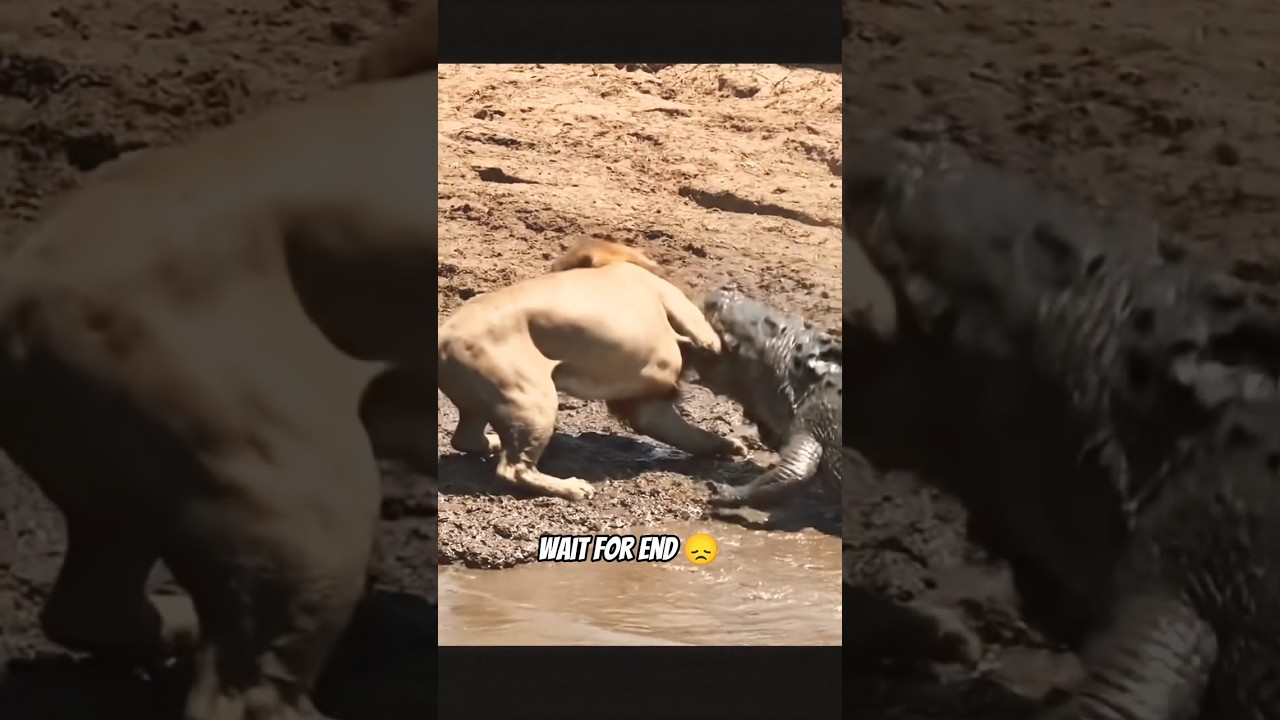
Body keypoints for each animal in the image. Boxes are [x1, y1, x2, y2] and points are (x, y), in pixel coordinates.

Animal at [0, 10, 438, 720]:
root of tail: (19, 289)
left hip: (124, 500)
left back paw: (172, 627)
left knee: (87, 608)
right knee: (238, 691)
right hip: (300, 500)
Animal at [437, 237, 748, 501]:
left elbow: (689, 434)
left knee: (465, 439)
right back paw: (573, 487)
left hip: (484, 404)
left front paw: (727, 447)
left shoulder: (647, 405)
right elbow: (710, 339)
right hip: (532, 400)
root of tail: (443, 337)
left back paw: (492, 443)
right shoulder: (678, 306)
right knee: (513, 469)